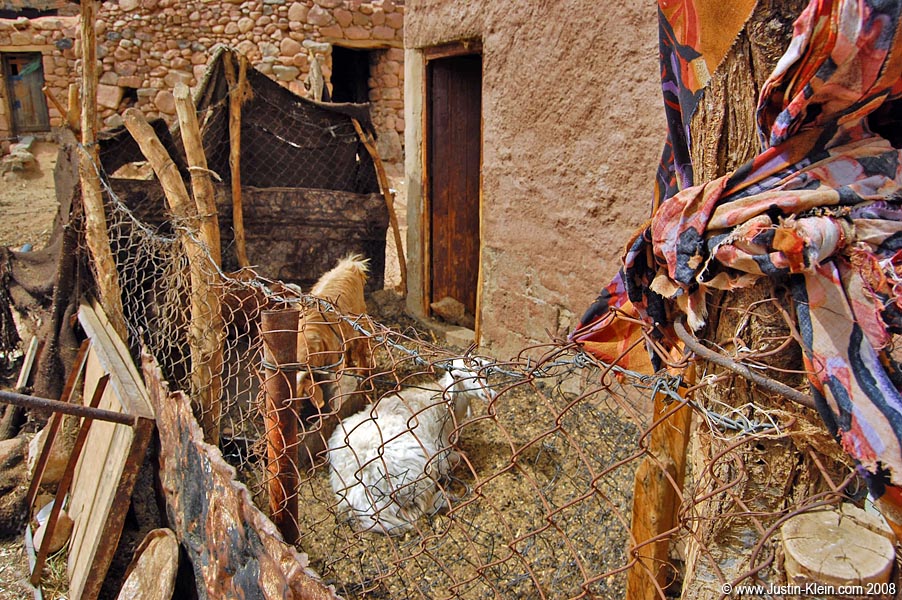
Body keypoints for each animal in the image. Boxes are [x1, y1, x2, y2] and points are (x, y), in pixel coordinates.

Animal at [327, 357, 496, 535]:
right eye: (458, 375)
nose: (488, 394)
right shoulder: (440, 452)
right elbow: (454, 458)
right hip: (418, 471)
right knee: (419, 511)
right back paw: (444, 498)